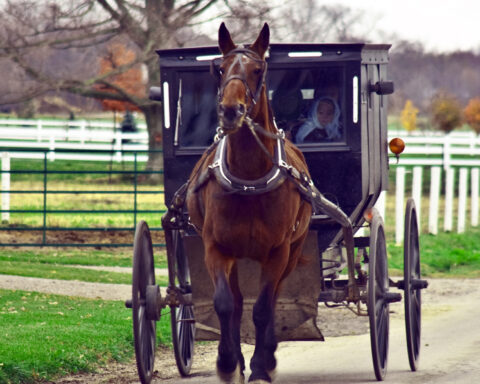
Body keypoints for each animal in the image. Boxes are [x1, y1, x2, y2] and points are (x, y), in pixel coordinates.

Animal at [186, 22, 314, 382]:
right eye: (220, 68)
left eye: (258, 70)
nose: (231, 111)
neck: (248, 180)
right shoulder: (215, 247)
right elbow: (226, 305)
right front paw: (228, 363)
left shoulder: (278, 252)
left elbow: (264, 308)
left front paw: (260, 365)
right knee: (237, 301)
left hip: (293, 251)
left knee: (273, 298)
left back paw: (266, 357)